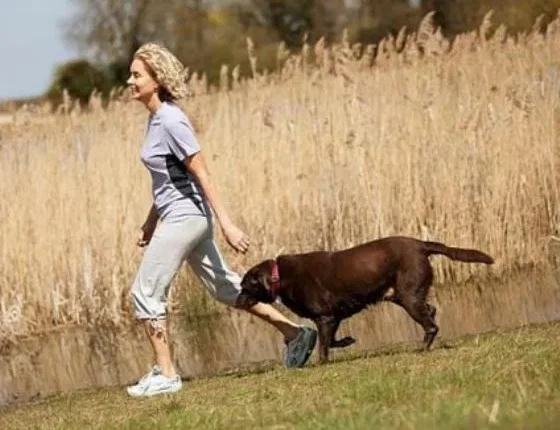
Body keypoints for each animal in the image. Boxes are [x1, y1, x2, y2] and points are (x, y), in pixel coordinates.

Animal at [238, 236, 494, 364]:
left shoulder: (325, 317)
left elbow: (324, 345)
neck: (279, 277)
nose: (237, 299)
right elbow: (332, 341)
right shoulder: (334, 317)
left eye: (245, 286)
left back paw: (422, 349)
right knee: (430, 311)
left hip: (408, 296)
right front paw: (348, 341)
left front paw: (321, 363)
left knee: (431, 325)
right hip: (402, 295)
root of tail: (421, 245)